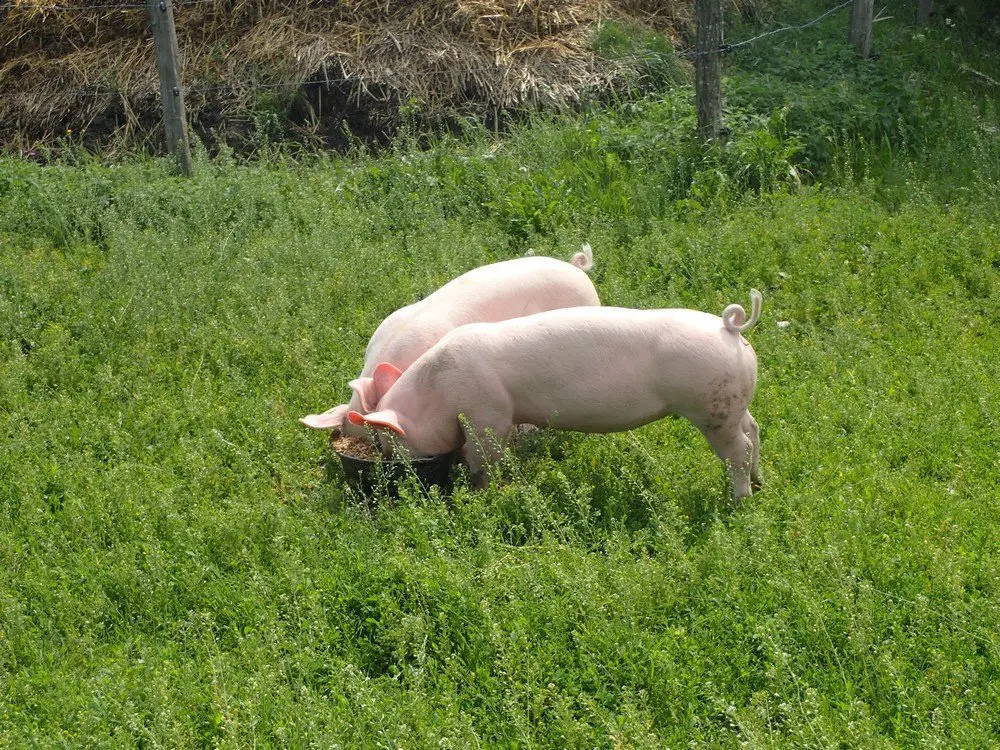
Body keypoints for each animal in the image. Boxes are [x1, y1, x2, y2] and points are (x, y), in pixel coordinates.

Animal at [348, 290, 760, 502]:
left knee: (737, 449)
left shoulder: (488, 415)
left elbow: (485, 458)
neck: (440, 391)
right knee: (754, 431)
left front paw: (478, 495)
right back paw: (759, 483)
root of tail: (730, 330)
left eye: (387, 441)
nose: (390, 470)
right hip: (734, 403)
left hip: (711, 407)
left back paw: (739, 501)